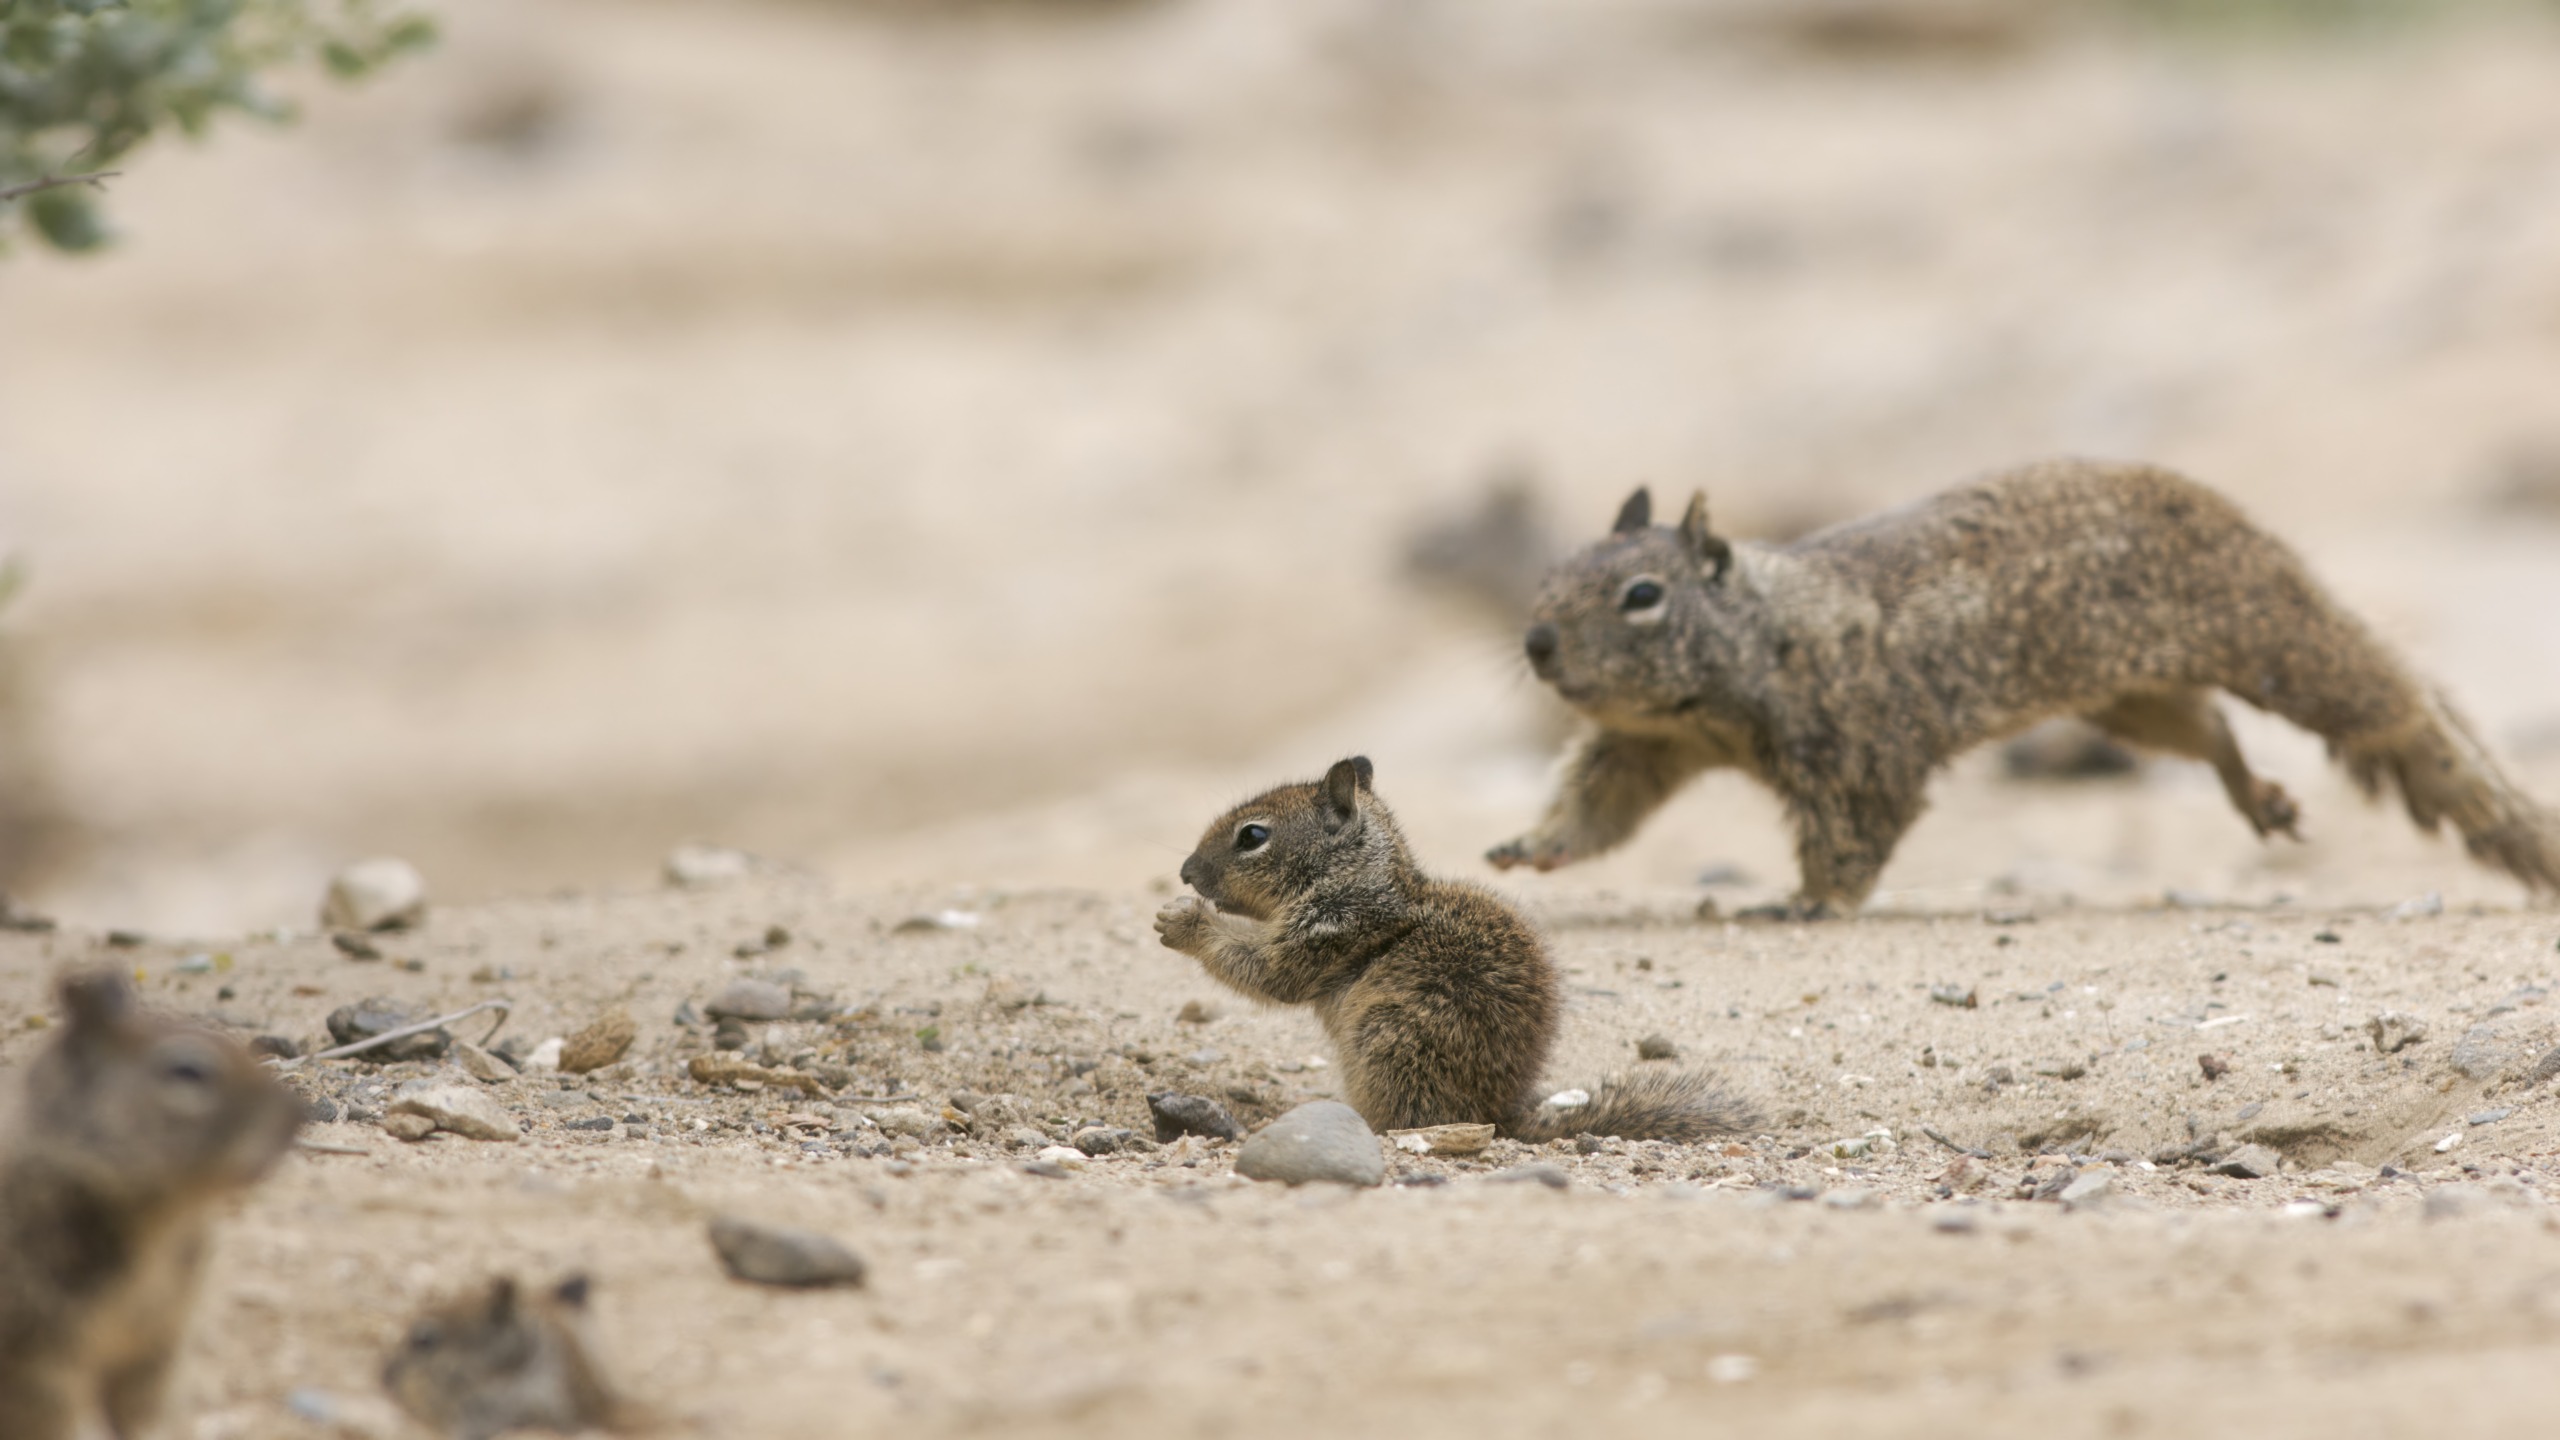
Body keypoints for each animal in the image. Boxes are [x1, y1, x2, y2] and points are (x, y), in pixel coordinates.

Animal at [1162, 758, 1761, 1137]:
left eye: (1252, 836)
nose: (1185, 871)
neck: (1357, 877)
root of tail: (1500, 1115)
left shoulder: (1327, 931)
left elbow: (1266, 971)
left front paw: (1184, 922)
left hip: (1388, 1040)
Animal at [1495, 453, 2549, 912]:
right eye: (1557, 566)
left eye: (1642, 595)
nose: (1537, 642)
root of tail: (2217, 502)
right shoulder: (1648, 745)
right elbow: (1599, 807)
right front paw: (1530, 847)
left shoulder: (1857, 750)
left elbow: (1853, 835)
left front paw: (1810, 901)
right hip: (2131, 695)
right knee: (2205, 730)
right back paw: (2260, 798)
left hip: (2274, 638)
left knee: (2399, 705)